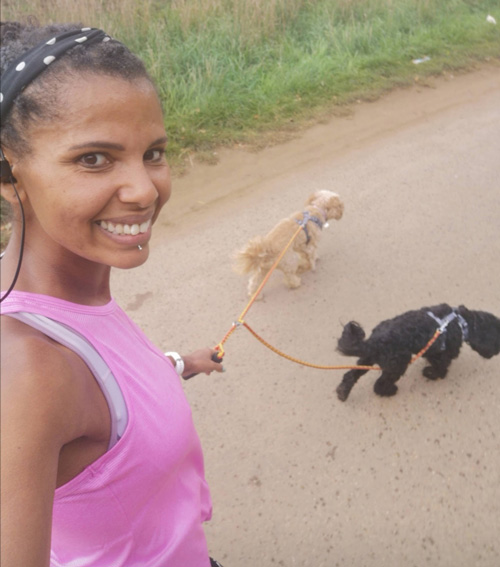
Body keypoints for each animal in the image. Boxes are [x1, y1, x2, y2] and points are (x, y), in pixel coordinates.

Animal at [336, 304, 500, 402]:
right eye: (496, 341)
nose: (497, 352)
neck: (461, 321)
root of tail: (375, 341)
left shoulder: (432, 351)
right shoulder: (442, 354)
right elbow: (441, 368)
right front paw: (431, 374)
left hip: (367, 358)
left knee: (350, 375)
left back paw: (343, 391)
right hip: (398, 365)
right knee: (379, 384)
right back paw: (389, 391)